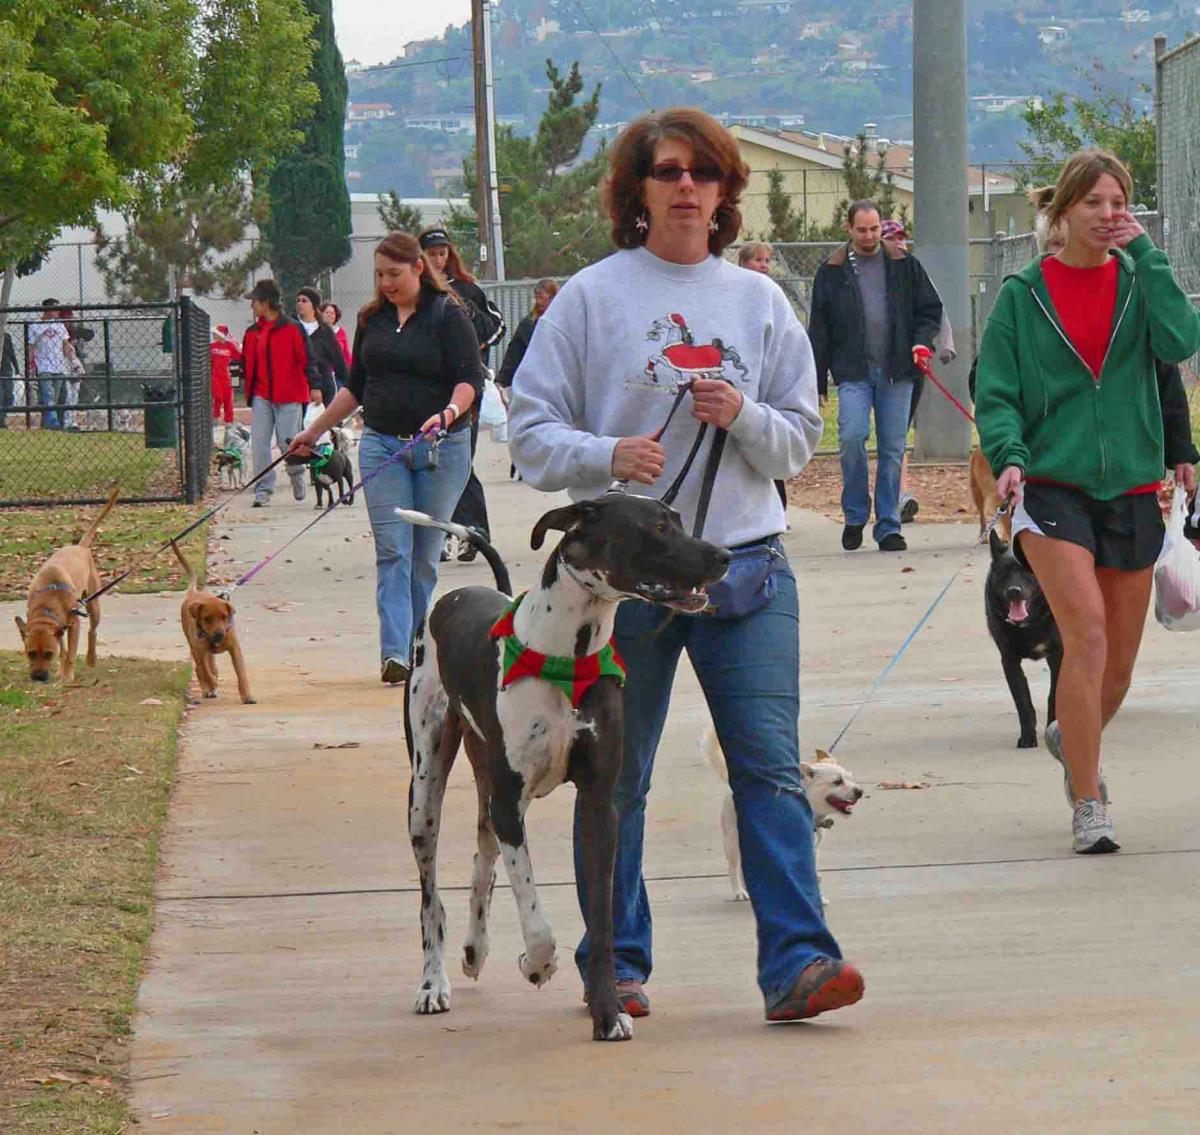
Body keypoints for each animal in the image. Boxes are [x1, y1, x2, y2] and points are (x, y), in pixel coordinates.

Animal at [16, 482, 118, 676]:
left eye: (48, 654)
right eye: (30, 653)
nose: (39, 678)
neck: (47, 603)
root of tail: (80, 546)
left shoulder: (74, 623)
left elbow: (71, 653)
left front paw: (68, 676)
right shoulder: (58, 627)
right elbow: (63, 650)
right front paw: (61, 670)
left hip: (93, 604)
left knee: (92, 631)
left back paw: (91, 659)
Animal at [171, 539, 255, 700]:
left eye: (224, 617)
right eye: (207, 618)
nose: (219, 635)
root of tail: (193, 593)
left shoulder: (235, 649)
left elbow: (241, 673)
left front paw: (247, 695)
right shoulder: (199, 650)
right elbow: (205, 671)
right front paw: (212, 684)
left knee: (212, 667)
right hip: (193, 645)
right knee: (200, 669)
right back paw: (208, 689)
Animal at [403, 491, 724, 1041]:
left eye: (679, 520)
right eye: (658, 527)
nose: (724, 556)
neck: (566, 653)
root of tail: (457, 594)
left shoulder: (598, 805)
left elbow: (602, 917)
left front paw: (609, 1012)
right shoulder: (512, 803)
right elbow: (535, 916)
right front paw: (537, 965)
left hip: (486, 785)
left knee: (482, 859)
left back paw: (474, 949)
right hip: (425, 791)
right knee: (431, 898)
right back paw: (432, 983)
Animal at [700, 724, 864, 902]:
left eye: (850, 778)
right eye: (837, 782)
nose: (860, 791)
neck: (812, 813)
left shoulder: (812, 850)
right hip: (732, 840)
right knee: (734, 866)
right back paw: (739, 891)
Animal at [984, 527, 1060, 748]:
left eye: (1028, 571)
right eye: (1004, 572)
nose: (1014, 591)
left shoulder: (1059, 656)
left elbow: (1054, 695)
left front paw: (1053, 727)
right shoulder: (1009, 661)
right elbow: (1022, 701)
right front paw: (1027, 736)